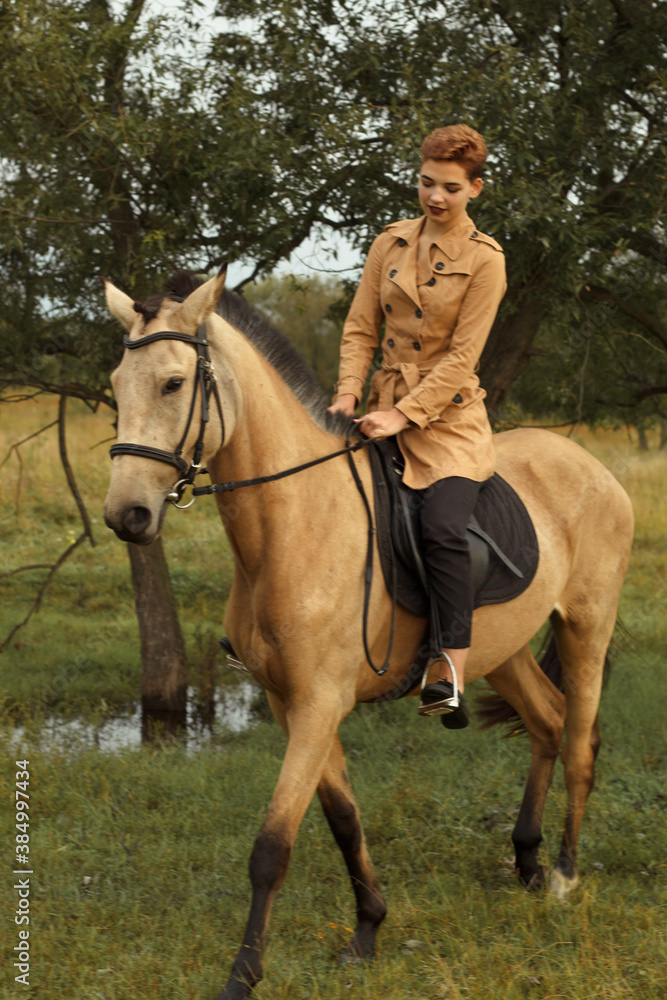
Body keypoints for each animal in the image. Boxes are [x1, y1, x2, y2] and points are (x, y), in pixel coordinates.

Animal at [102, 268, 634, 1000]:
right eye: (115, 386)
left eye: (173, 384)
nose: (126, 515)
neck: (294, 523)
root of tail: (590, 464)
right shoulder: (292, 705)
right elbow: (342, 818)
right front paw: (366, 933)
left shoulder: (318, 703)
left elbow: (272, 845)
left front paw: (242, 975)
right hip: (500, 649)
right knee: (548, 724)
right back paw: (525, 863)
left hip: (586, 626)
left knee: (580, 743)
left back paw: (561, 875)